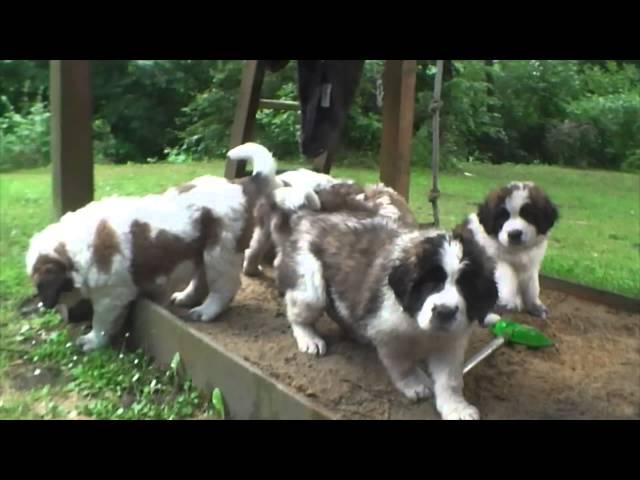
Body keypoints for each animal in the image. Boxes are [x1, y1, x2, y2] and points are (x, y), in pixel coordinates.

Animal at [268, 188, 498, 420]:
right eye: (429, 283)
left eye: (465, 287)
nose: (444, 312)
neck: (417, 324)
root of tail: (306, 217)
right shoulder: (388, 332)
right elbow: (403, 362)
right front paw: (415, 382)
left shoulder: (451, 340)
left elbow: (450, 378)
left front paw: (456, 407)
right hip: (309, 287)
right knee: (301, 313)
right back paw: (309, 338)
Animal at [452, 180, 556, 318]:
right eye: (502, 217)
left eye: (528, 215)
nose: (514, 234)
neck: (516, 250)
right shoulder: (490, 257)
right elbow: (507, 270)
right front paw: (509, 299)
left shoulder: (531, 265)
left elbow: (533, 286)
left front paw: (535, 306)